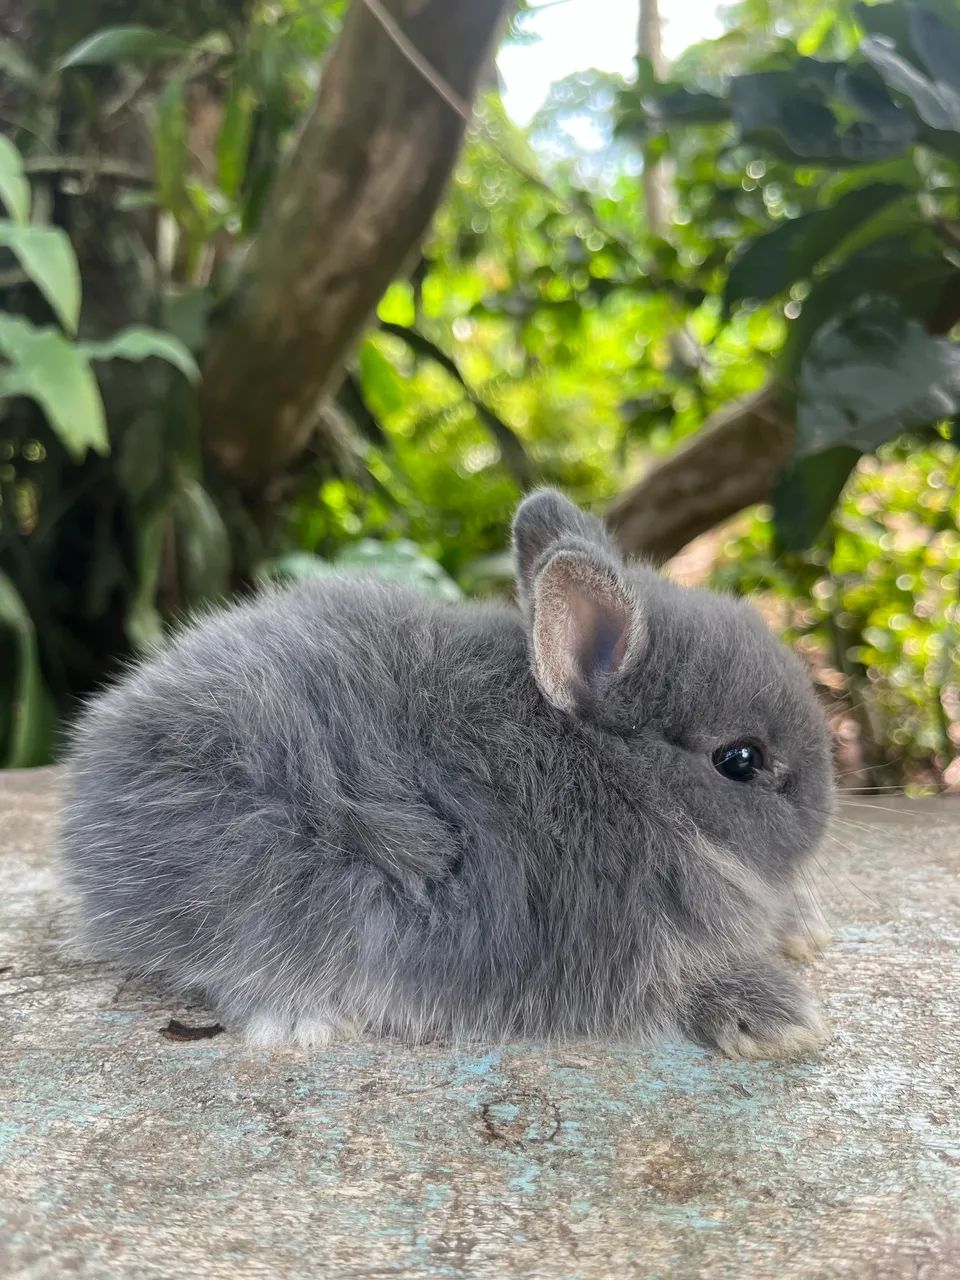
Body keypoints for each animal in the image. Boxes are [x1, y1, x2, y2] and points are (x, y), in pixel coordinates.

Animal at [59, 489, 835, 1059]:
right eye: (740, 761)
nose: (827, 811)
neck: (618, 775)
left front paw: (802, 933)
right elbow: (683, 981)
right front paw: (777, 1020)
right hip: (263, 881)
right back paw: (305, 1022)